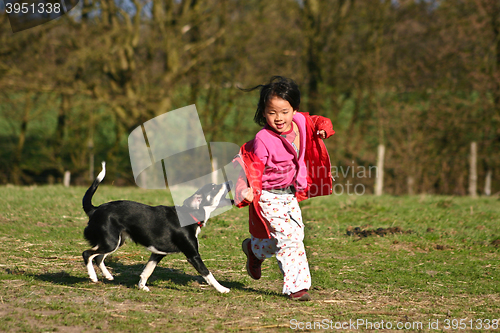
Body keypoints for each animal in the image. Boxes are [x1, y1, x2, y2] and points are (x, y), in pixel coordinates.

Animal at [81, 162, 232, 292]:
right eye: (214, 187)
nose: (229, 182)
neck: (190, 213)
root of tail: (95, 209)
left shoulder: (158, 253)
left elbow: (147, 271)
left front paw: (142, 286)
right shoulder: (193, 255)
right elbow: (208, 274)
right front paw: (222, 289)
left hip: (116, 241)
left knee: (98, 257)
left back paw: (108, 275)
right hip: (110, 242)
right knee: (87, 254)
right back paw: (93, 276)